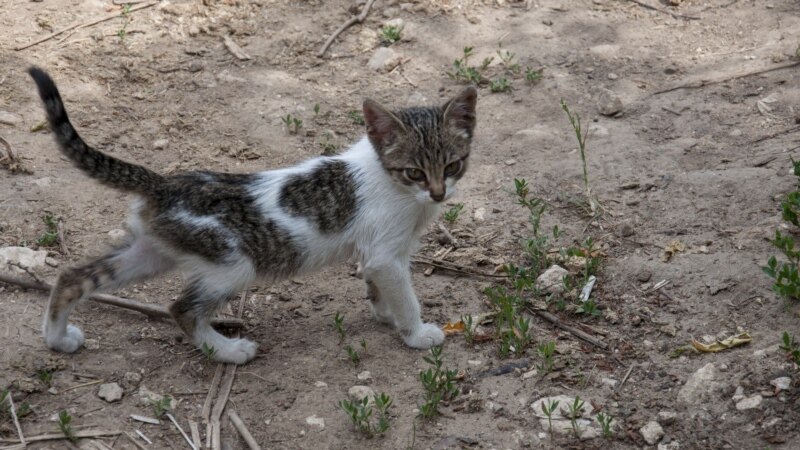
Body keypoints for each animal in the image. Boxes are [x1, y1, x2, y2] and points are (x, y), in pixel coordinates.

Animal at [31, 68, 478, 368]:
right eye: (414, 172)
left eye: (452, 165)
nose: (439, 193)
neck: (388, 179)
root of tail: (165, 184)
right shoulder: (388, 253)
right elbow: (404, 294)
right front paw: (415, 332)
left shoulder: (377, 252)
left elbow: (377, 285)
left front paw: (384, 315)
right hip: (234, 264)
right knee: (181, 309)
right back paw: (228, 351)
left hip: (151, 252)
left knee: (73, 277)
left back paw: (57, 339)